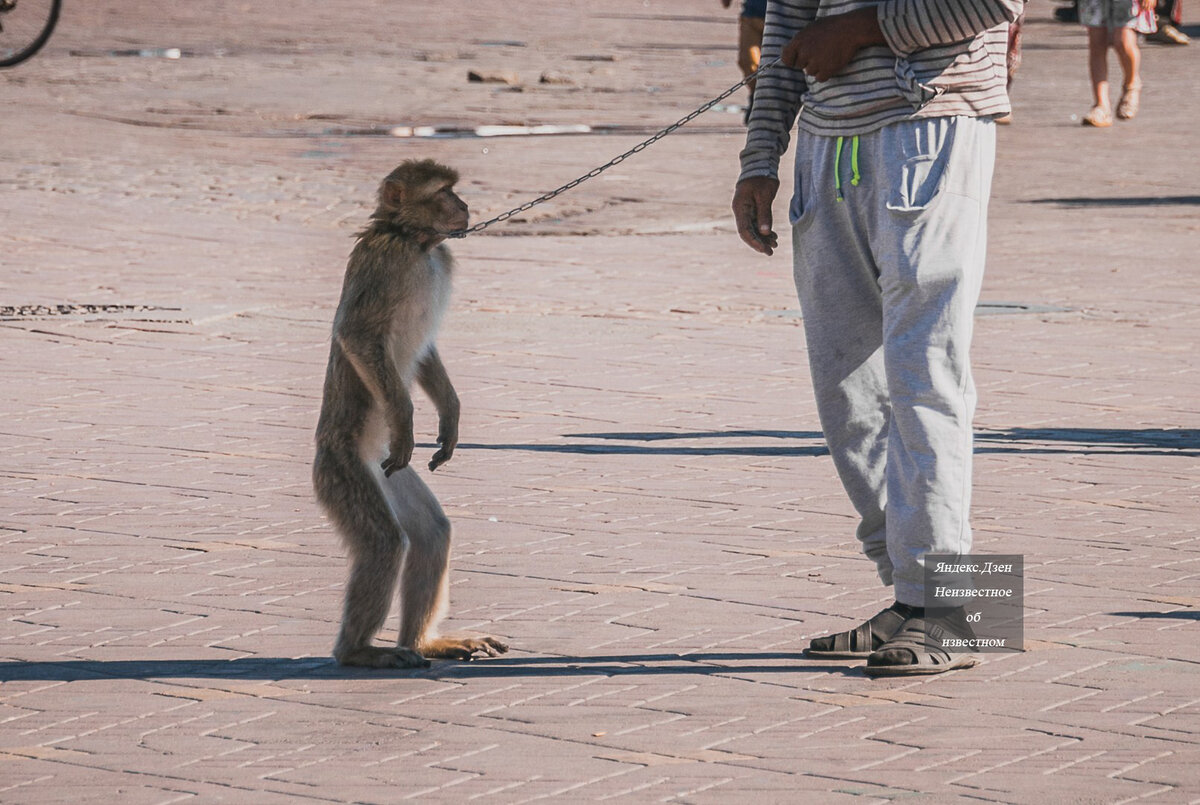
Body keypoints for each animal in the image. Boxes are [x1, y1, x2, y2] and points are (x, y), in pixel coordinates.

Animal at [312, 160, 508, 671]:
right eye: (443, 193)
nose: (464, 205)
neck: (416, 243)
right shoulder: (385, 261)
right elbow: (358, 335)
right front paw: (405, 422)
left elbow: (422, 354)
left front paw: (450, 417)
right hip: (343, 472)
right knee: (384, 541)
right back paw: (357, 651)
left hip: (387, 476)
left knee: (432, 533)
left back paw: (423, 642)